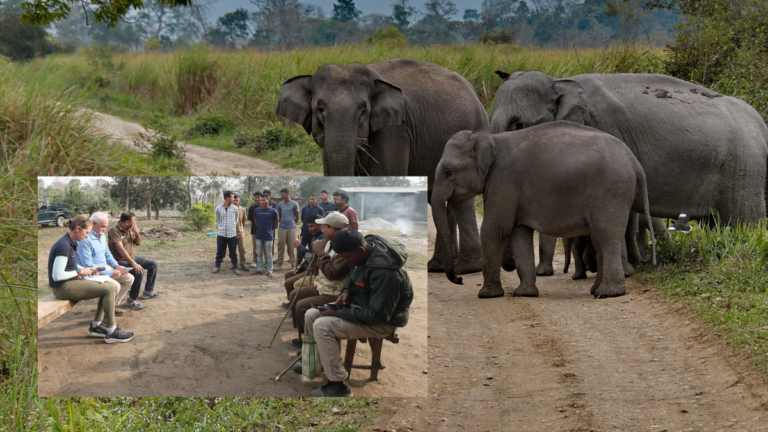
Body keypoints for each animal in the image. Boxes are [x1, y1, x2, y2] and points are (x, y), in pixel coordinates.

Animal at [276, 58, 491, 274]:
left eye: (363, 111)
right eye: (320, 109)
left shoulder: (394, 131)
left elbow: (385, 171)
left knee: (460, 200)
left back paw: (467, 268)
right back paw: (438, 267)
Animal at [432, 123, 657, 299]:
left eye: (449, 172)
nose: (460, 280)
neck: (490, 138)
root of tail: (634, 161)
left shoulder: (503, 181)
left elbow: (495, 230)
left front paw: (487, 295)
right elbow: (519, 233)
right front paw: (523, 294)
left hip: (611, 192)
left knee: (606, 236)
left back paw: (607, 294)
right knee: (600, 238)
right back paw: (595, 290)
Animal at [490, 70, 768, 275]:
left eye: (519, 125)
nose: (509, 267)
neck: (559, 81)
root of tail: (761, 123)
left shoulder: (608, 130)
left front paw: (616, 269)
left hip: (744, 168)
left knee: (744, 222)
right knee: (715, 224)